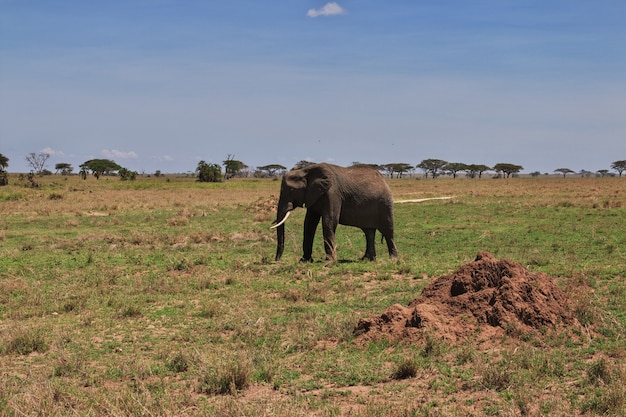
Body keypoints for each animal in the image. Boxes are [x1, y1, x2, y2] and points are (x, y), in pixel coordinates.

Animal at [270, 162, 398, 262]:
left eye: (292, 190)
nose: (277, 260)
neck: (305, 171)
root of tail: (384, 180)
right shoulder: (313, 195)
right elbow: (309, 223)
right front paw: (304, 260)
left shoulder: (332, 192)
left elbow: (329, 220)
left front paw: (329, 261)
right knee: (369, 232)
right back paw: (367, 259)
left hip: (385, 203)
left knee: (388, 231)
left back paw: (393, 259)